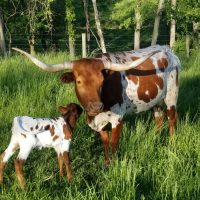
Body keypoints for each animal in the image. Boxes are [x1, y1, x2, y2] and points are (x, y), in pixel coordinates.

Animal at [12, 45, 181, 166]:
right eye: (78, 81)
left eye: (101, 82)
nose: (96, 107)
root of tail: (168, 50)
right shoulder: (99, 122)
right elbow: (105, 141)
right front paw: (106, 163)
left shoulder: (117, 118)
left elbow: (113, 142)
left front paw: (114, 164)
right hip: (156, 100)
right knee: (159, 118)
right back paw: (155, 138)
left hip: (171, 95)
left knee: (172, 119)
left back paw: (172, 144)